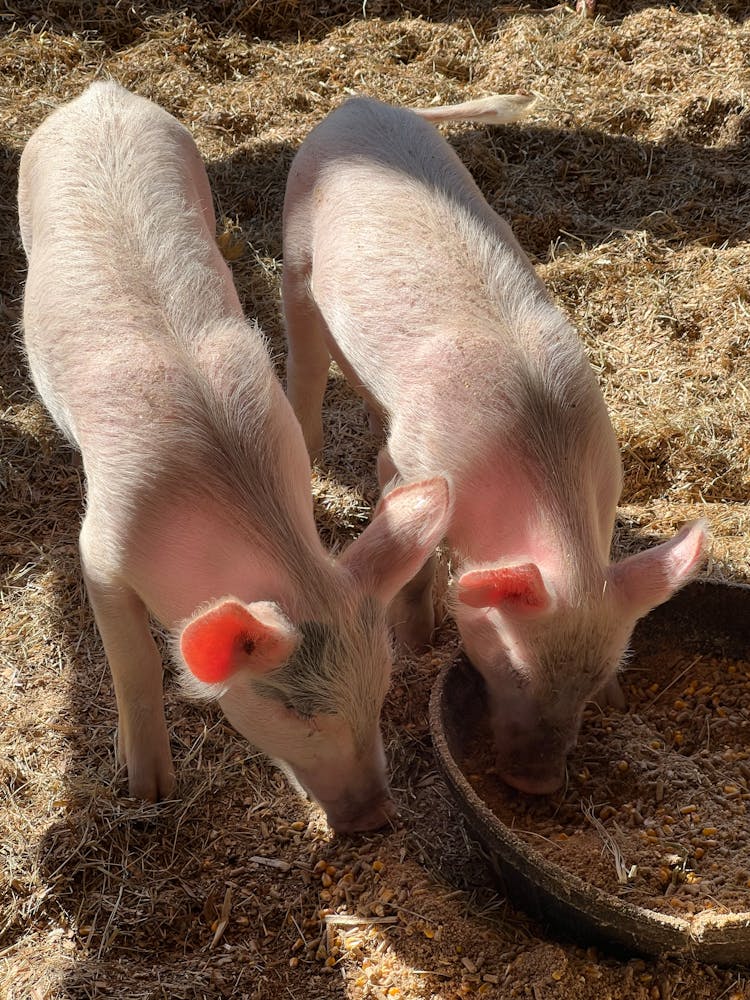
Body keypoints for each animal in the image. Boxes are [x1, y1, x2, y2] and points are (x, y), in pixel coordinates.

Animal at [19, 78, 452, 832]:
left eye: (381, 689)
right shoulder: (99, 550)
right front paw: (148, 792)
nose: (375, 818)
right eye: (297, 712)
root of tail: (99, 93)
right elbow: (136, 666)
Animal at [284, 95, 712, 796]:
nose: (538, 784)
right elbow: (411, 550)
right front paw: (416, 642)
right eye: (512, 668)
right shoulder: (413, 462)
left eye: (595, 679)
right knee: (305, 351)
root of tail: (362, 102)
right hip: (295, 242)